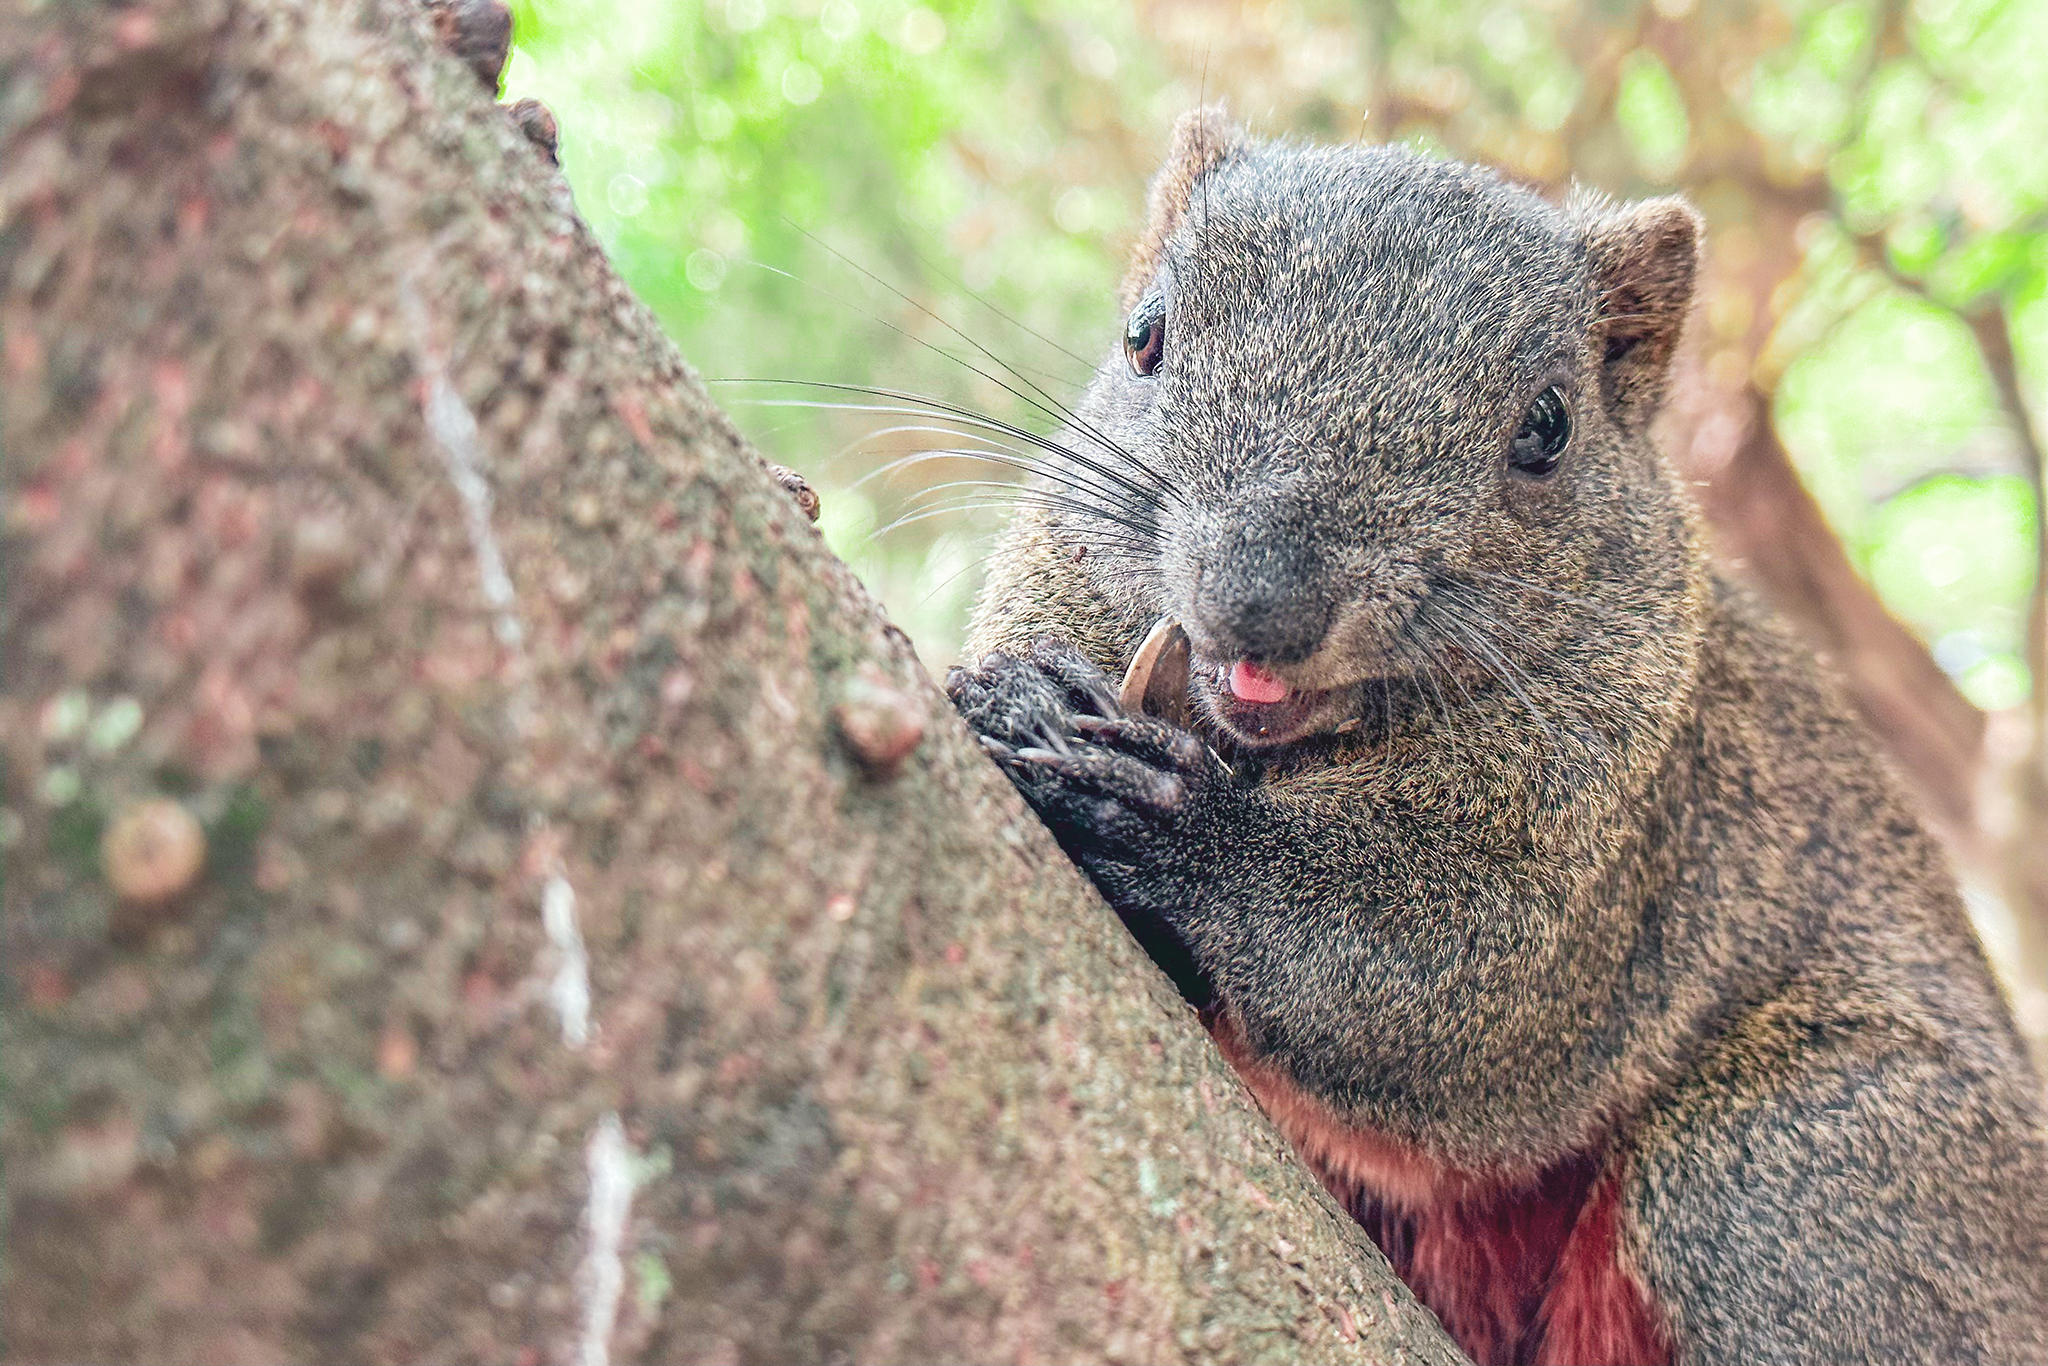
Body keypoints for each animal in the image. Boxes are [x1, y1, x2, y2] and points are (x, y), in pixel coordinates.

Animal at [945, 109, 2048, 1365]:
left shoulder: (1625, 834)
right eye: (1143, 335)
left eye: (1547, 428)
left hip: (1795, 1169)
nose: (1262, 601)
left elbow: (1444, 963)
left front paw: (1164, 817)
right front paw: (1023, 699)